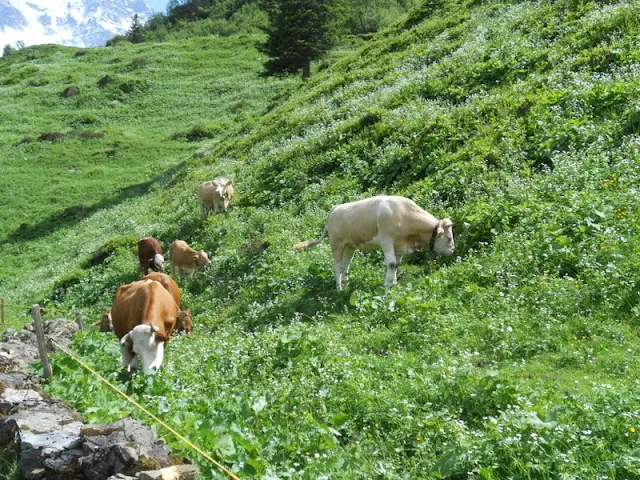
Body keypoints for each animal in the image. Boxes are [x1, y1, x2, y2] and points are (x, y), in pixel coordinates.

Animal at [294, 194, 456, 288]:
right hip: (336, 244)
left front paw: (393, 283)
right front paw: (387, 286)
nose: (452, 249)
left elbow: (396, 264)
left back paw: (347, 285)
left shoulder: (399, 245)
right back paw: (339, 288)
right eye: (448, 238)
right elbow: (391, 264)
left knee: (345, 265)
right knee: (337, 266)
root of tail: (334, 209)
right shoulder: (386, 241)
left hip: (349, 245)